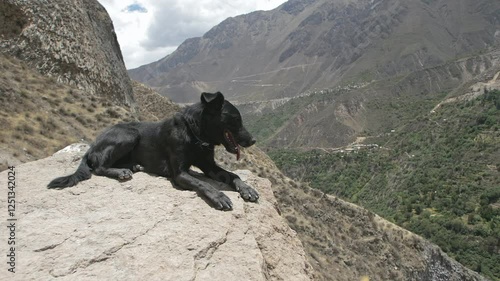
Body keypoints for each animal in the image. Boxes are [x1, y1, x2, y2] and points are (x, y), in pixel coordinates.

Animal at [47, 92, 260, 210]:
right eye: (235, 119)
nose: (253, 140)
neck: (195, 134)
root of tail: (93, 144)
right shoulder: (179, 173)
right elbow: (203, 184)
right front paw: (219, 196)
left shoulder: (209, 166)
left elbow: (232, 175)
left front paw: (246, 188)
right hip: (129, 134)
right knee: (99, 166)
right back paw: (121, 172)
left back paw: (134, 166)